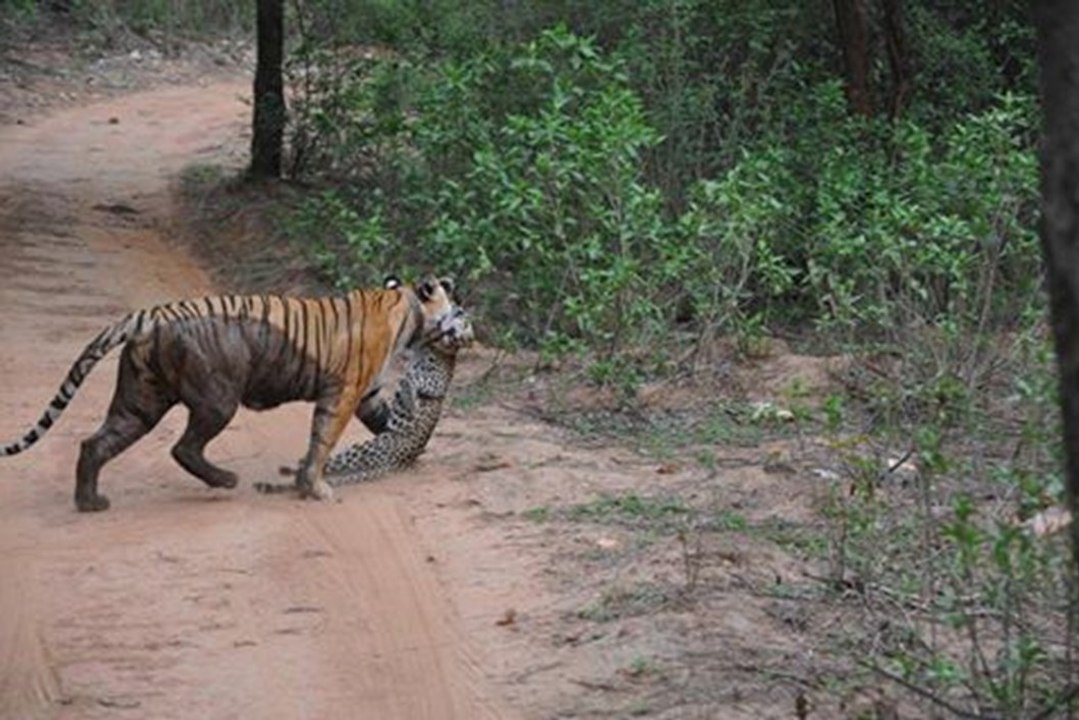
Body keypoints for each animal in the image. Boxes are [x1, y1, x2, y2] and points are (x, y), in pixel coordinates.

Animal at [265, 304, 472, 490]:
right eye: (463, 322)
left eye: (461, 336)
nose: (459, 312)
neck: (436, 347)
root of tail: (401, 461)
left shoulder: (433, 383)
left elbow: (412, 382)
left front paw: (410, 402)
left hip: (365, 449)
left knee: (333, 463)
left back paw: (297, 468)